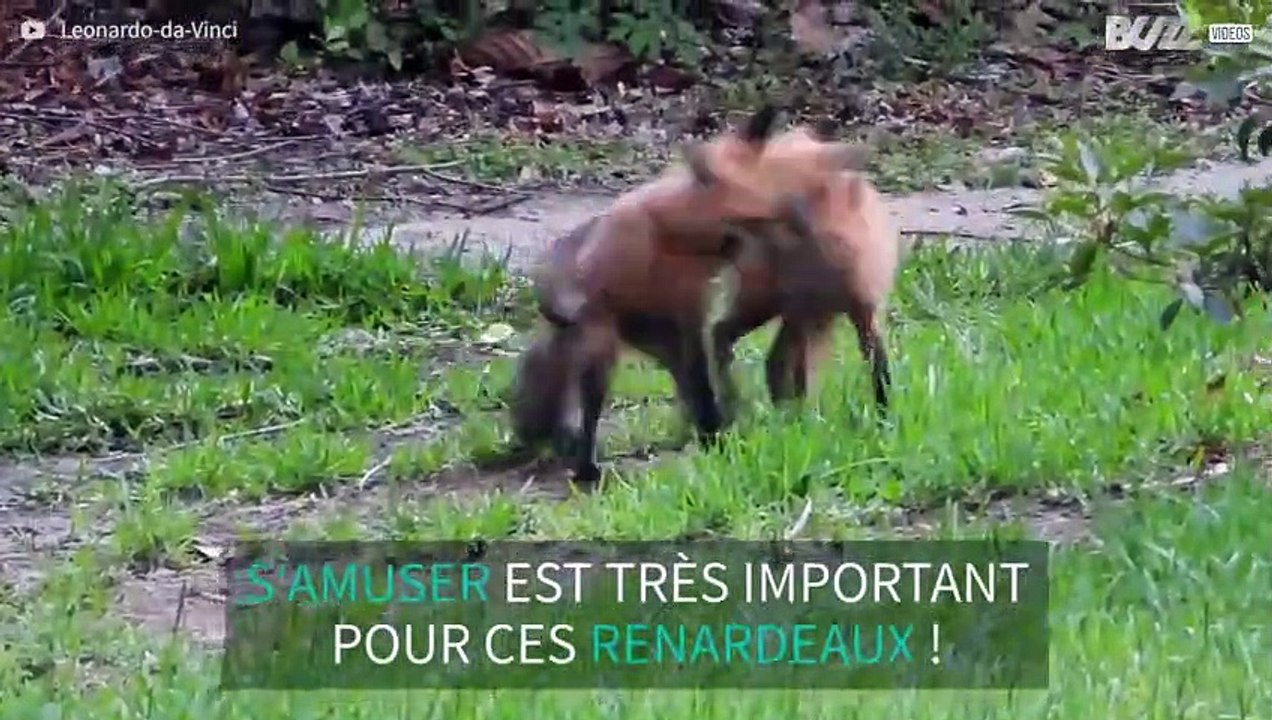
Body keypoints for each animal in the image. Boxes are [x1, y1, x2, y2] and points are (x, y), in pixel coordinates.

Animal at [508, 107, 870, 488]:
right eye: (756, 218)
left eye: (780, 208)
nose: (805, 228)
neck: (670, 243)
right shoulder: (605, 313)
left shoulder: (688, 320)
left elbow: (703, 390)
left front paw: (717, 437)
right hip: (605, 345)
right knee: (582, 398)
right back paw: (582, 462)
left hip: (657, 345)